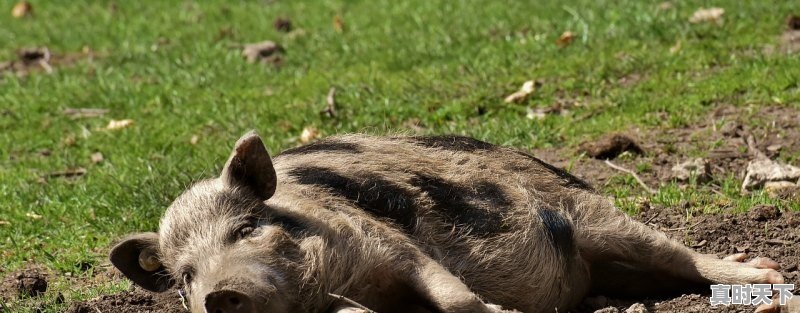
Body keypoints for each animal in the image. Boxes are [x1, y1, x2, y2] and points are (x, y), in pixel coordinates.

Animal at [109, 131, 784, 312]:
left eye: (246, 229)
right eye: (184, 277)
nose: (219, 293)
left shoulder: (387, 242)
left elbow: (453, 295)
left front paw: (500, 312)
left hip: (592, 214)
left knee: (681, 255)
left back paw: (766, 277)